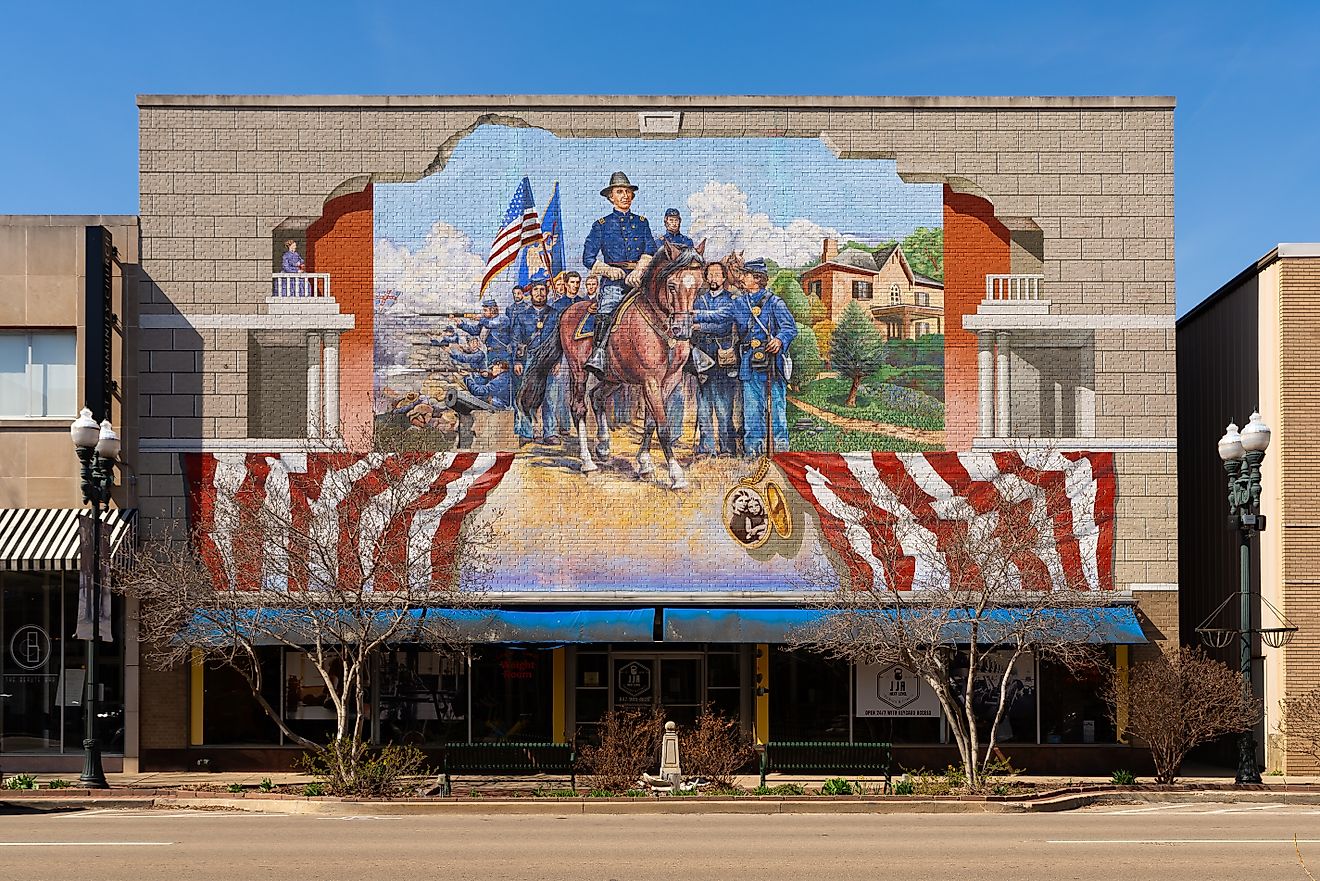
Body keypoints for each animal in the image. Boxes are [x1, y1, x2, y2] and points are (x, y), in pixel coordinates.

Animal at [514, 241, 707, 488]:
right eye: (672, 285)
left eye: (699, 286)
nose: (682, 329)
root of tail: (566, 312)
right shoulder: (650, 381)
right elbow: (662, 426)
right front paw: (676, 475)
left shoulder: (670, 380)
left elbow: (650, 422)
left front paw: (644, 464)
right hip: (579, 371)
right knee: (578, 408)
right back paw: (588, 462)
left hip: (613, 377)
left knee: (597, 397)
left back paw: (603, 446)